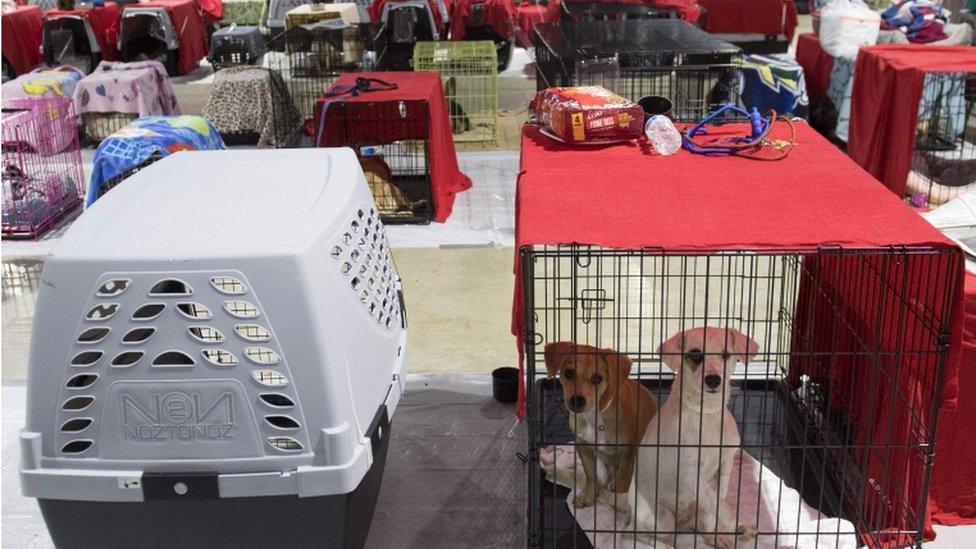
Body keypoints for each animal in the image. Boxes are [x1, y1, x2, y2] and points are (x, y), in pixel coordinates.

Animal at [544, 340, 660, 508]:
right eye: (569, 373)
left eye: (597, 378)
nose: (577, 400)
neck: (595, 417)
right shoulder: (583, 446)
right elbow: (591, 475)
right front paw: (588, 496)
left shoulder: (628, 452)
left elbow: (623, 482)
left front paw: (620, 502)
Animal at [624, 328, 764, 544]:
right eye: (695, 355)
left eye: (726, 354)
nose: (713, 379)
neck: (705, 413)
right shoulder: (690, 473)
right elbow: (721, 505)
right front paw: (736, 524)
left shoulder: (726, 462)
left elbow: (718, 500)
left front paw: (732, 528)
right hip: (660, 519)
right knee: (636, 533)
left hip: (696, 513)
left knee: (703, 529)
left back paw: (719, 539)